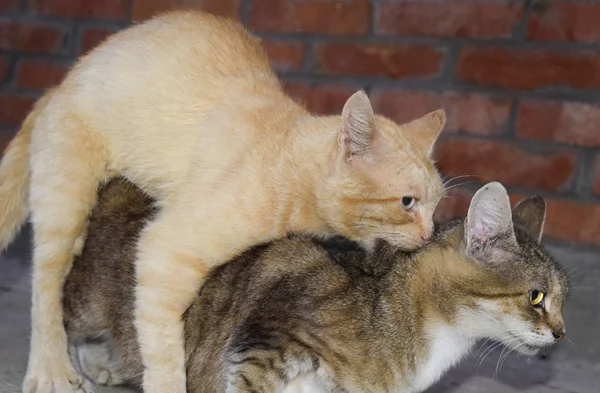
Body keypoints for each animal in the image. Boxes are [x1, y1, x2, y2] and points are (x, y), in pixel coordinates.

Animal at [0, 9, 448, 392]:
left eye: (435, 206)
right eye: (408, 202)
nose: (429, 233)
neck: (285, 154)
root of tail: (58, 85)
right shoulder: (162, 251)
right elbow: (161, 348)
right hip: (66, 205)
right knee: (47, 287)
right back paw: (51, 369)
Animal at [62, 177, 572, 392]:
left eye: (563, 298)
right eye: (537, 296)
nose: (562, 334)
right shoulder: (267, 342)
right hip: (85, 302)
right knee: (62, 320)